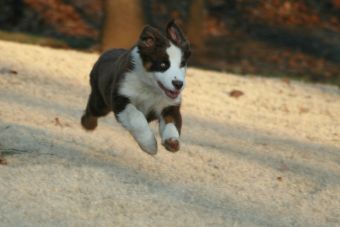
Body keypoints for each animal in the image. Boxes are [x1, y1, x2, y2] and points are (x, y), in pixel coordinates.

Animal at [80, 20, 191, 155]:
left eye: (182, 64)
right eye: (163, 65)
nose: (178, 84)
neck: (150, 87)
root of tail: (106, 53)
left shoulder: (169, 105)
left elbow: (172, 123)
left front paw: (172, 142)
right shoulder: (121, 98)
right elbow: (137, 117)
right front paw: (149, 145)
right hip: (101, 103)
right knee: (92, 110)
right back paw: (88, 124)